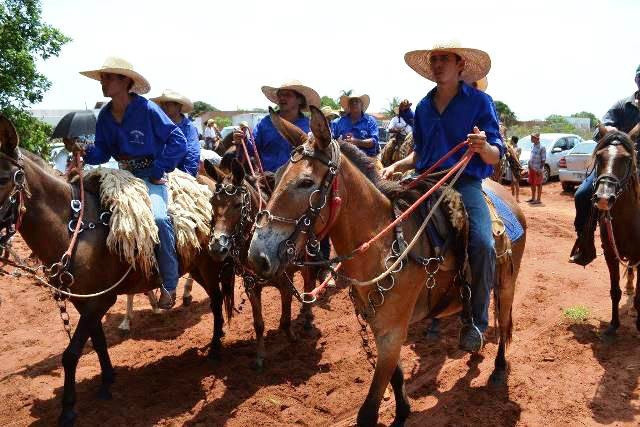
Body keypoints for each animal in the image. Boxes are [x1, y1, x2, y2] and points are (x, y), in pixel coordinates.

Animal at [0, 116, 234, 427]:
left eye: (4, 178)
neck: (75, 226)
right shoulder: (85, 301)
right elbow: (98, 342)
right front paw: (108, 380)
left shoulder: (101, 300)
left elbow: (71, 354)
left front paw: (68, 408)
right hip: (196, 267)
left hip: (210, 266)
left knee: (218, 301)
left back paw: (216, 347)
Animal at [202, 155, 318, 370]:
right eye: (212, 202)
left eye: (237, 204)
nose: (216, 248)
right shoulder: (251, 286)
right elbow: (258, 323)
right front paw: (260, 356)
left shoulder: (285, 282)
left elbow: (285, 318)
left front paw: (291, 338)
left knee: (309, 281)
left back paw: (307, 316)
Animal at [245, 108, 524, 427]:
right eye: (275, 178)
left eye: (305, 182)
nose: (257, 255)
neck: (385, 244)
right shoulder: (382, 328)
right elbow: (397, 376)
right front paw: (402, 412)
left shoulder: (392, 330)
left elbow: (368, 411)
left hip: (507, 285)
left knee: (505, 322)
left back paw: (498, 368)